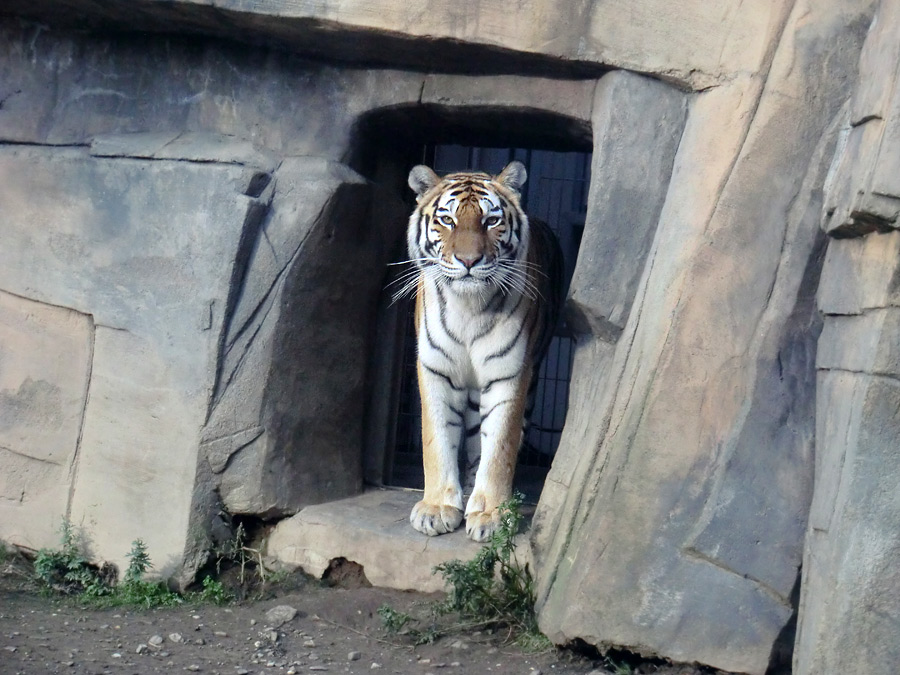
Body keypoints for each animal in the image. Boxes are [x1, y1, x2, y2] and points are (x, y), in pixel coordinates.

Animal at [396, 162, 564, 544]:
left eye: (490, 221)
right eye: (447, 220)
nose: (469, 260)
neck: (468, 308)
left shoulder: (510, 374)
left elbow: (500, 445)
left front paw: (491, 514)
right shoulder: (436, 370)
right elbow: (436, 439)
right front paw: (437, 508)